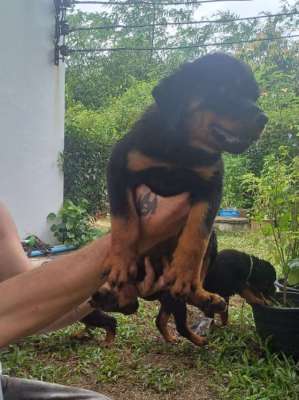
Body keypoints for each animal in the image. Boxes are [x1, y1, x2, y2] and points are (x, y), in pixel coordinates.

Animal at [104, 50, 268, 310]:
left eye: (254, 96)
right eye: (227, 91)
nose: (264, 118)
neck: (184, 150)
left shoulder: (211, 187)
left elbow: (196, 234)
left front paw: (184, 273)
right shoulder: (119, 168)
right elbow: (124, 219)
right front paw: (120, 262)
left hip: (214, 241)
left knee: (195, 281)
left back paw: (203, 295)